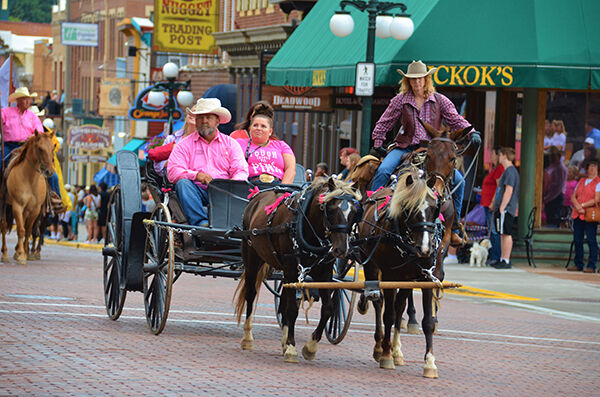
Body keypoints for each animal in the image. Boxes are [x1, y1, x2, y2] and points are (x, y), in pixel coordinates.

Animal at [0, 131, 55, 264]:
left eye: (52, 148)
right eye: (40, 148)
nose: (49, 172)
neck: (30, 179)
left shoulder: (35, 209)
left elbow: (28, 230)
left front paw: (23, 252)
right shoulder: (17, 206)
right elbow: (21, 230)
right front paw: (21, 255)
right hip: (4, 203)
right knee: (3, 225)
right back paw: (5, 254)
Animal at [356, 167, 440, 378]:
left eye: (435, 208)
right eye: (409, 209)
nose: (425, 249)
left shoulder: (425, 278)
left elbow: (427, 322)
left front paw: (430, 363)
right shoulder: (388, 277)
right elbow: (388, 315)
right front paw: (386, 356)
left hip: (406, 279)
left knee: (400, 306)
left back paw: (397, 351)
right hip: (372, 267)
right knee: (379, 303)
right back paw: (380, 347)